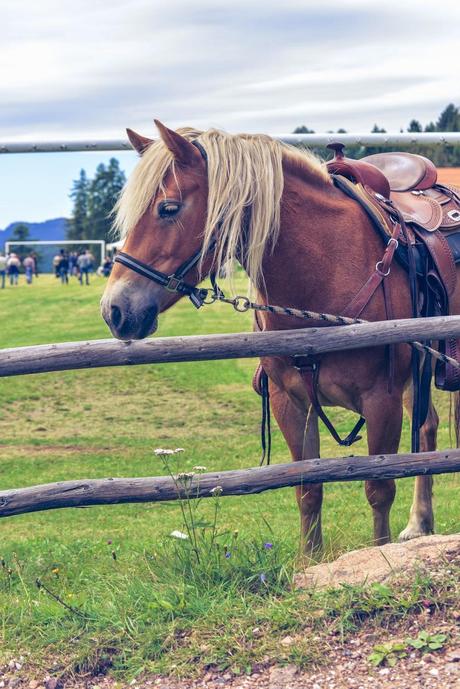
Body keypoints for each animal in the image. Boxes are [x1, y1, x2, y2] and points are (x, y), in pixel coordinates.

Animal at [99, 122, 456, 552]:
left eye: (168, 208)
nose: (114, 309)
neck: (327, 269)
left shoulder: (381, 401)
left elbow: (379, 489)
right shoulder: (292, 402)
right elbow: (308, 488)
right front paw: (310, 559)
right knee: (427, 427)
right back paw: (419, 523)